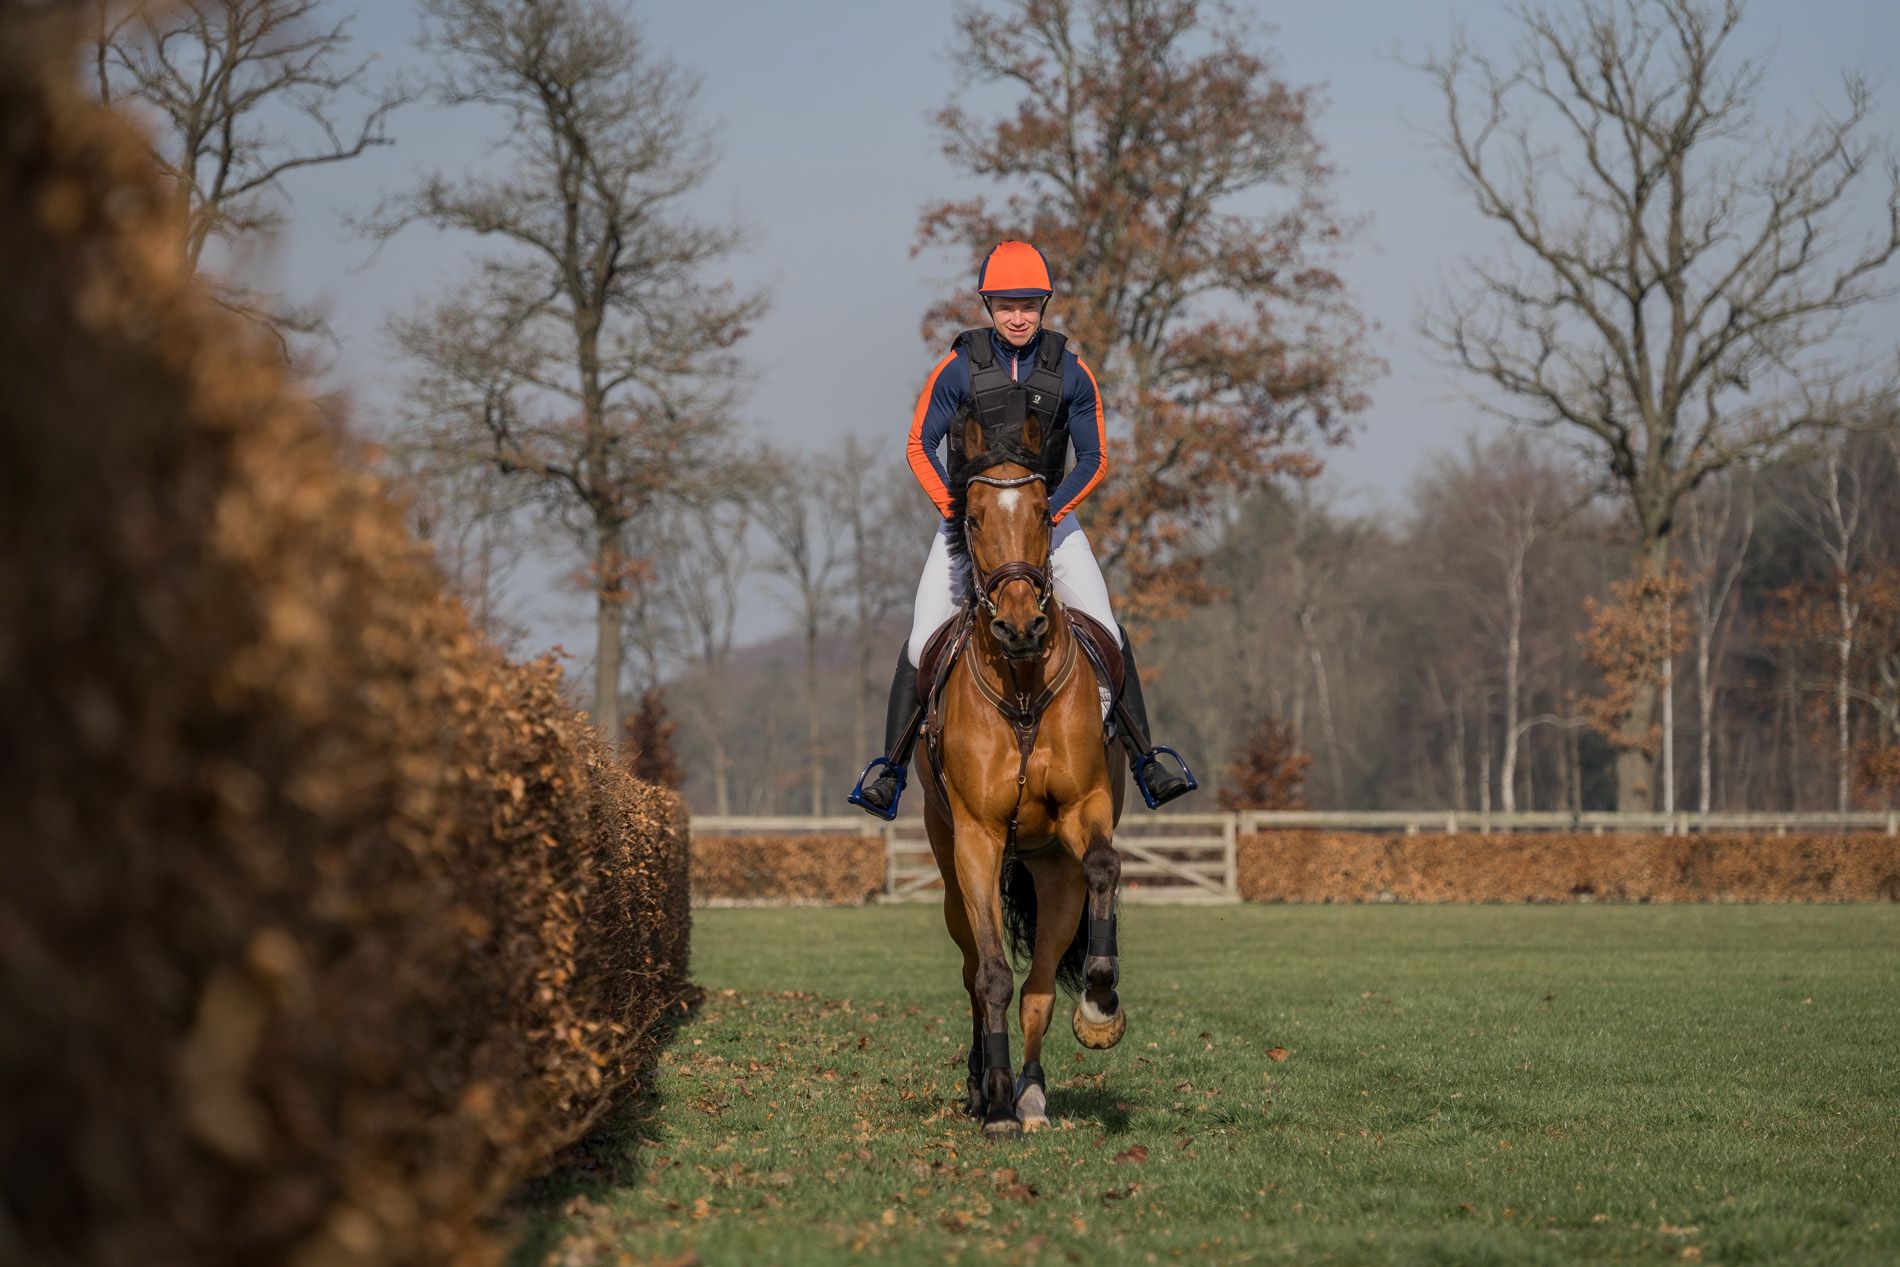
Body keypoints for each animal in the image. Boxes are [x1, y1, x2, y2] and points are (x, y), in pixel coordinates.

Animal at [918, 410, 1128, 1139]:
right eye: (975, 517)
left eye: (1042, 510)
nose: (1019, 625)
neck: (1022, 685)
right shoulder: (978, 838)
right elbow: (990, 975)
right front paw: (997, 1101)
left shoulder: (1085, 808)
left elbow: (1104, 867)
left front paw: (1101, 1004)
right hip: (953, 871)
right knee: (972, 968)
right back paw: (986, 1087)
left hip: (1051, 872)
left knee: (1038, 980)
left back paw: (1034, 1091)